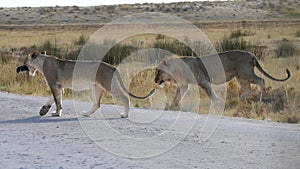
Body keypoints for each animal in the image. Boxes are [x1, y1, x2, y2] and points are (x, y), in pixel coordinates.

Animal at [16, 51, 155, 117]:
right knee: (97, 104)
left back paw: (125, 115)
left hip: (108, 84)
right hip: (97, 87)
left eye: (25, 60)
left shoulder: (53, 84)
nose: (20, 67)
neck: (42, 61)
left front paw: (56, 113)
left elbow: (56, 100)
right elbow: (56, 99)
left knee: (125, 97)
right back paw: (86, 114)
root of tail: (112, 66)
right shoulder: (59, 86)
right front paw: (45, 110)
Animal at [155, 49, 290, 109]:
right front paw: (172, 106)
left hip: (246, 73)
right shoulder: (184, 85)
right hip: (240, 77)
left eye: (159, 71)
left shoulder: (203, 81)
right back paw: (242, 100)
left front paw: (218, 102)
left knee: (261, 81)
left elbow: (210, 93)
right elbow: (177, 96)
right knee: (247, 88)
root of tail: (251, 54)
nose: (155, 80)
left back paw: (262, 98)